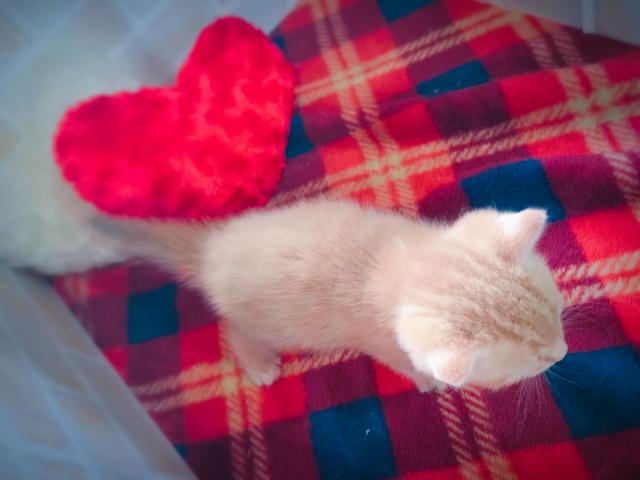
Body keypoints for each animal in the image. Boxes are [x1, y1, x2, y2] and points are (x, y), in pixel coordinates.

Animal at [98, 197, 567, 391]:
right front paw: (428, 381)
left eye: (560, 315)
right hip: (260, 320)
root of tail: (211, 249)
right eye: (538, 360)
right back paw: (258, 362)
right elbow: (402, 360)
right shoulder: (381, 342)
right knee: (232, 329)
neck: (400, 264)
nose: (564, 352)